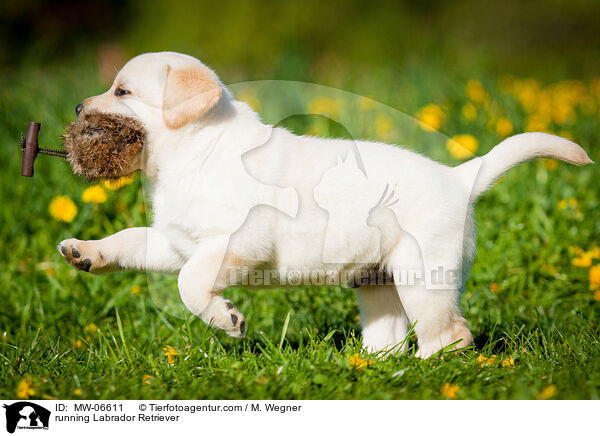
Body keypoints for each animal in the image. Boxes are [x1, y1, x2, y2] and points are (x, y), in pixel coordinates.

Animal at [58, 51, 592, 358]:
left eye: (122, 91)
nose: (78, 107)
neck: (195, 150)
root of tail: (460, 178)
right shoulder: (177, 240)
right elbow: (132, 240)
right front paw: (86, 251)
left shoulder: (237, 240)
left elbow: (191, 284)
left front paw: (227, 319)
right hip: (378, 282)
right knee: (390, 339)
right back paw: (375, 372)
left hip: (424, 278)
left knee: (449, 334)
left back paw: (430, 374)